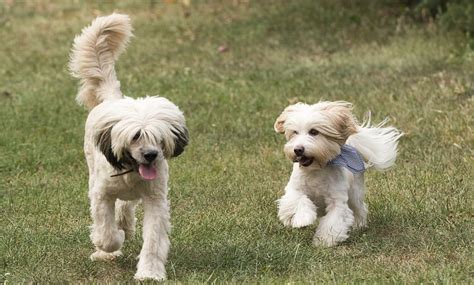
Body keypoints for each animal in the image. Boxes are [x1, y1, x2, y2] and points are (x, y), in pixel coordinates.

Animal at [68, 13, 187, 280]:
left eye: (159, 137)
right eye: (135, 136)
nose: (151, 155)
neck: (131, 173)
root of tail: (114, 99)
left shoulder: (156, 199)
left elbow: (153, 239)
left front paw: (149, 273)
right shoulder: (101, 194)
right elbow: (106, 231)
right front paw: (108, 247)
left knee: (125, 206)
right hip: (93, 171)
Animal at [274, 101, 400, 246]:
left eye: (314, 132)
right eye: (294, 132)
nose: (298, 149)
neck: (316, 169)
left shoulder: (337, 200)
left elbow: (333, 221)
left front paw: (324, 241)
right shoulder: (295, 189)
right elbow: (297, 201)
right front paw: (302, 220)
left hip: (355, 193)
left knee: (360, 208)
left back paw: (359, 225)